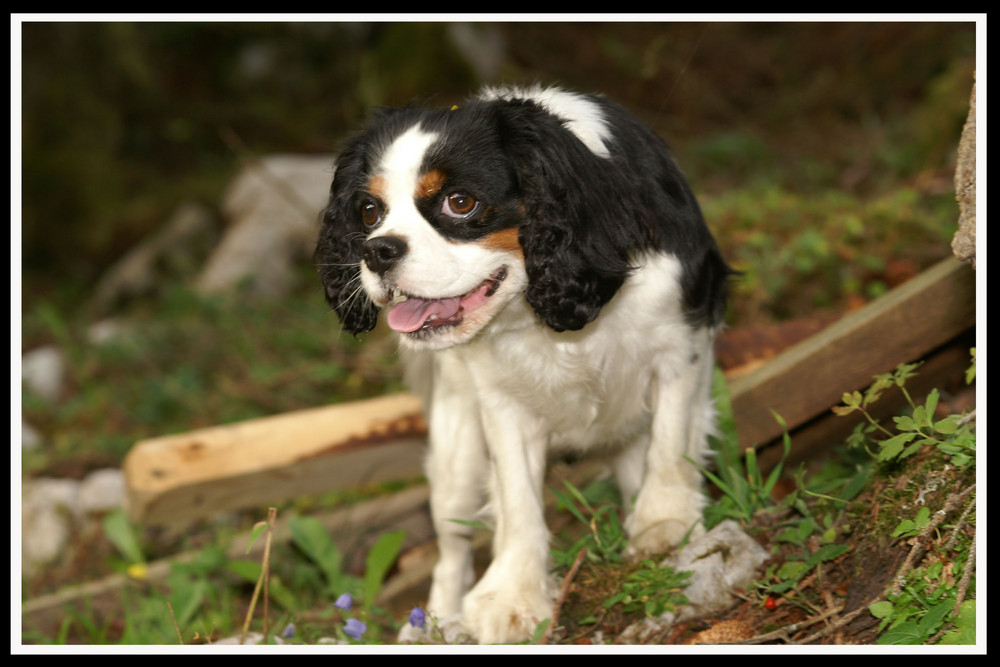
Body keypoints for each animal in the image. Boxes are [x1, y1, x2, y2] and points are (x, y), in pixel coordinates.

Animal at [316, 83, 732, 640]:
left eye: (460, 202)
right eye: (367, 211)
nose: (378, 249)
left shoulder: (679, 348)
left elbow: (670, 442)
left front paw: (664, 524)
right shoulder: (501, 403)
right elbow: (517, 500)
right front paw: (513, 596)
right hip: (456, 454)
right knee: (451, 547)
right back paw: (435, 621)